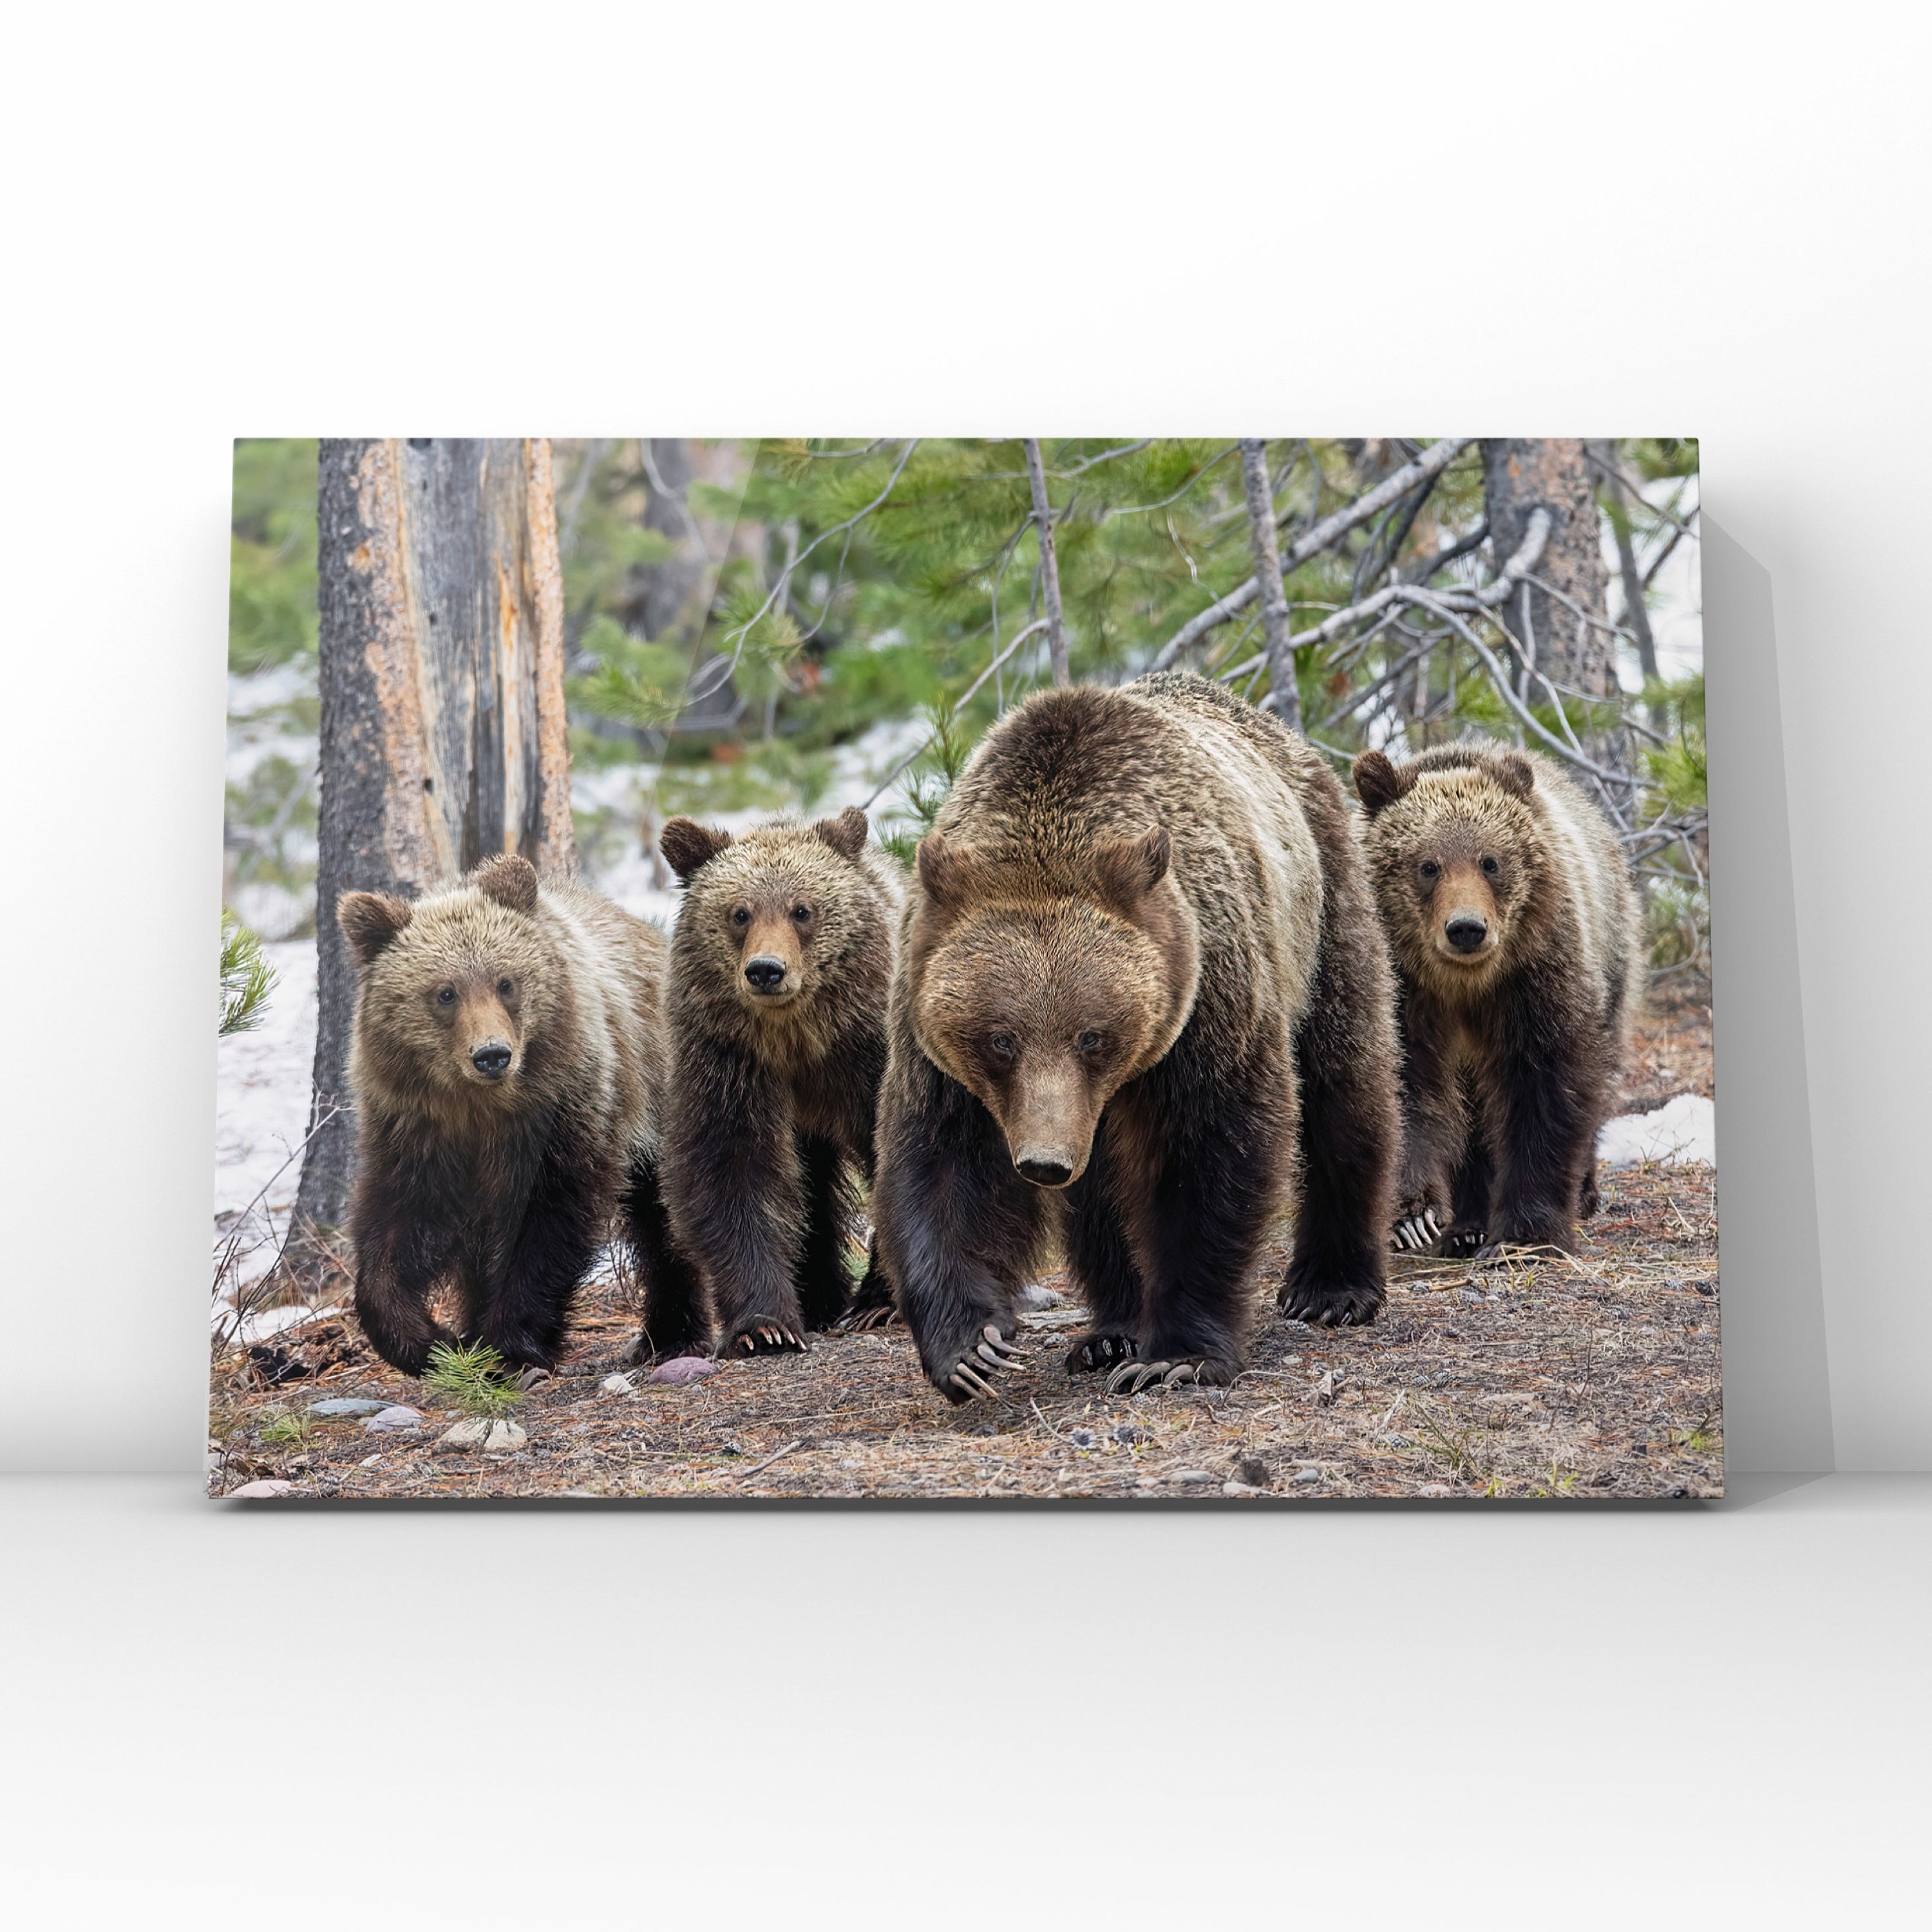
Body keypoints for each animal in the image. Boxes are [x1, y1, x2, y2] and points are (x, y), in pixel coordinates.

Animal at [335, 853, 703, 1377]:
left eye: (506, 982)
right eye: (445, 993)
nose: (492, 1055)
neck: (485, 1107)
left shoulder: (565, 1109)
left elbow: (549, 1220)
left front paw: (508, 1344)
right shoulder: (417, 1129)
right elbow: (396, 1226)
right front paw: (431, 1339)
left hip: (662, 1088)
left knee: (666, 1215)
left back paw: (671, 1334)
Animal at [654, 806, 903, 1357]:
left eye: (802, 910)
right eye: (740, 913)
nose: (766, 970)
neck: (797, 1040)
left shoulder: (868, 1056)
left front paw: (880, 1300)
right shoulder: (729, 1062)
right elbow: (731, 1172)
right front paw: (764, 1326)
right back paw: (820, 1299)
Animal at [870, 670, 1402, 1404]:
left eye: (1092, 1035)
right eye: (1001, 1039)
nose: (1043, 1161)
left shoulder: (1207, 990)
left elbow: (1211, 1151)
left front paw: (1177, 1355)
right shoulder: (932, 1029)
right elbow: (940, 1162)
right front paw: (971, 1347)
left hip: (1322, 907)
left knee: (1343, 1081)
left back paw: (1332, 1286)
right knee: (1100, 1194)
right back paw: (1111, 1330)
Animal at [1352, 740, 1643, 1258]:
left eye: (1491, 861)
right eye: (1428, 865)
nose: (1467, 928)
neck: (1464, 985)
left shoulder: (1533, 980)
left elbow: (1544, 1088)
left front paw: (1526, 1234)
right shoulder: (1404, 992)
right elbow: (1404, 1088)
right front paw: (1412, 1218)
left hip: (1612, 953)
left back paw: (1583, 1192)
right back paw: (1468, 1226)